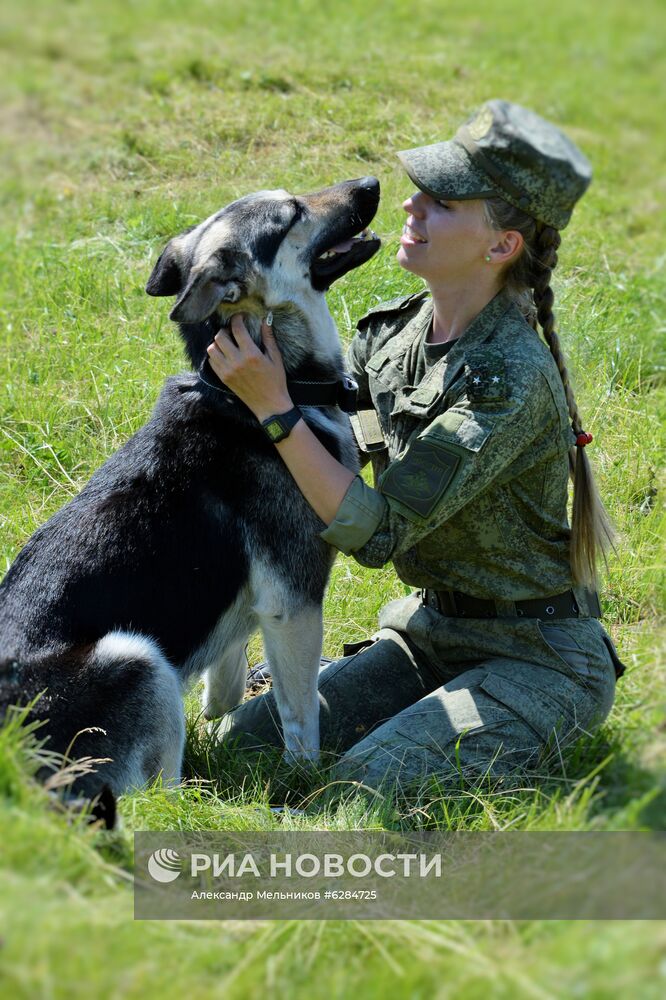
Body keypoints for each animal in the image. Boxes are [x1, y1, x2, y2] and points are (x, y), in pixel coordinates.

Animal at [0, 176, 378, 808]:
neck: (258, 392)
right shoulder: (293, 603)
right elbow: (302, 717)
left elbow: (224, 689)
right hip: (136, 658)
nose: (372, 183)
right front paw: (307, 781)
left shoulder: (250, 612)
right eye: (291, 213)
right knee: (160, 799)